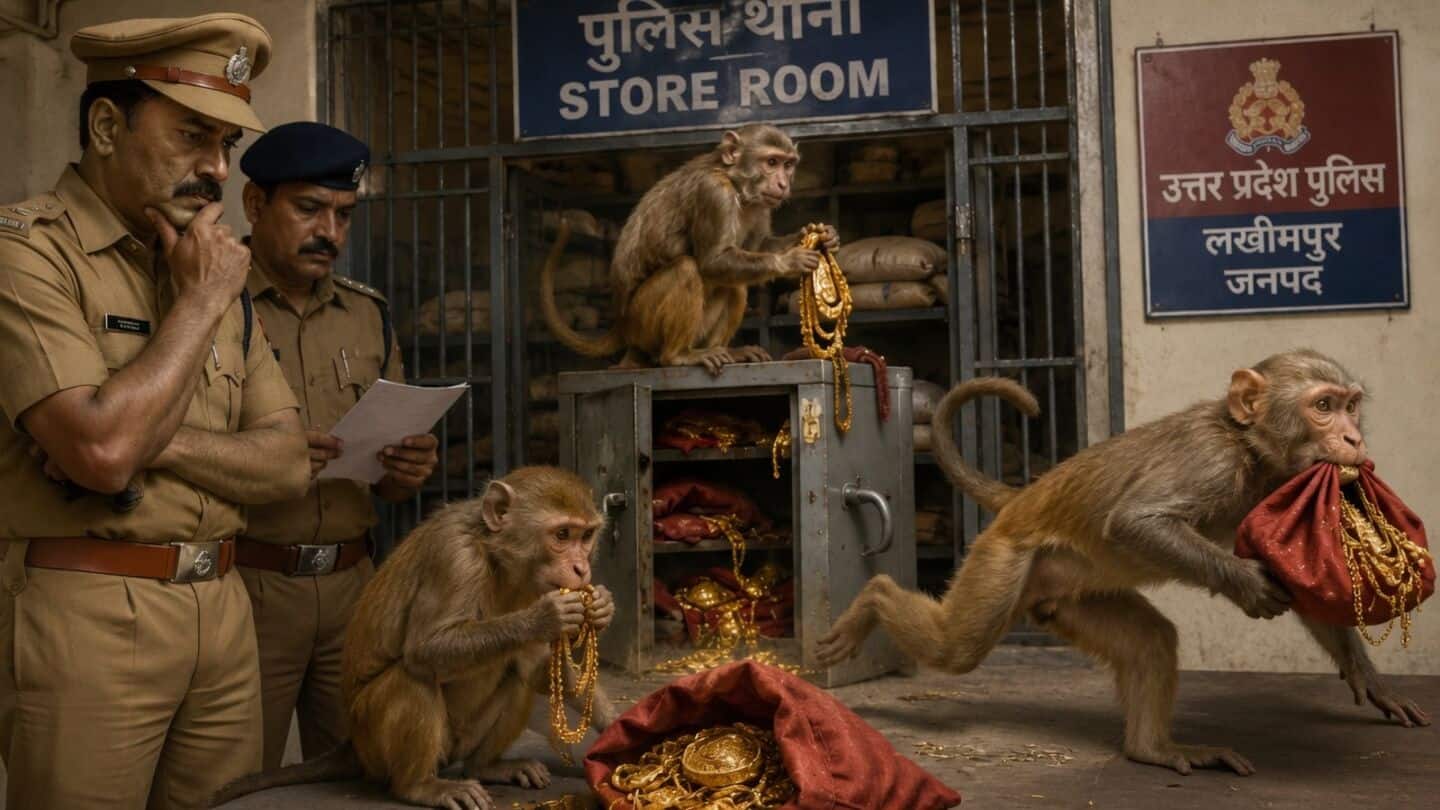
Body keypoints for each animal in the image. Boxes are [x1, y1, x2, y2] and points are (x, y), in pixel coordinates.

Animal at [210, 467, 619, 810]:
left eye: (586, 535)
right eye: (562, 535)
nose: (581, 568)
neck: (495, 555)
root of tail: (353, 744)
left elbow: (542, 669)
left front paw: (616, 726)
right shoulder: (455, 558)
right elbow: (426, 650)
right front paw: (545, 617)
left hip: (460, 742)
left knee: (519, 672)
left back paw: (486, 767)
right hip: (375, 742)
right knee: (412, 677)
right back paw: (420, 786)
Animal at [539, 124, 839, 375]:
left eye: (788, 164)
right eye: (771, 162)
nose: (782, 183)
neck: (733, 180)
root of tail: (621, 324)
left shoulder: (760, 205)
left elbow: (757, 247)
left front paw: (819, 237)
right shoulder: (713, 193)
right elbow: (712, 261)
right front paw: (790, 260)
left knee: (736, 284)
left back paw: (724, 351)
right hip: (642, 324)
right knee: (687, 269)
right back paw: (677, 356)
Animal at [817, 349, 1430, 776]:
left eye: (1351, 405)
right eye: (1322, 407)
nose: (1353, 437)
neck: (1251, 451)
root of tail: (1021, 500)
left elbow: (1305, 579)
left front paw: (1368, 677)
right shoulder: (1211, 461)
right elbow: (1135, 522)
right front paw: (1250, 587)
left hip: (1062, 598)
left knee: (1150, 640)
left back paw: (1150, 749)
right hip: (1002, 559)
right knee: (958, 646)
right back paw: (872, 598)